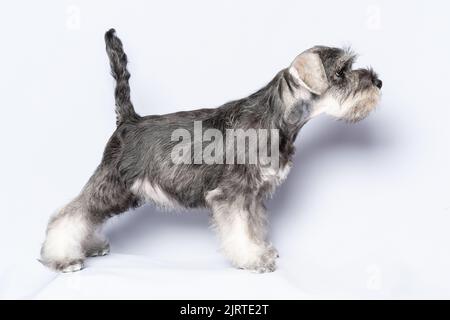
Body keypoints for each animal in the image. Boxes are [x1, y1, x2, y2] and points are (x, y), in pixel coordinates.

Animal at [40, 28, 382, 272]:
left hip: (125, 192)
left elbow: (254, 227)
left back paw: (89, 245)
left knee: (88, 215)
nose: (377, 82)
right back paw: (62, 257)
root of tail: (127, 120)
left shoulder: (254, 196)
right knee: (71, 214)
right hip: (113, 183)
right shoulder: (233, 194)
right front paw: (253, 260)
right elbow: (240, 230)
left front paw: (262, 250)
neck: (275, 119)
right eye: (341, 72)